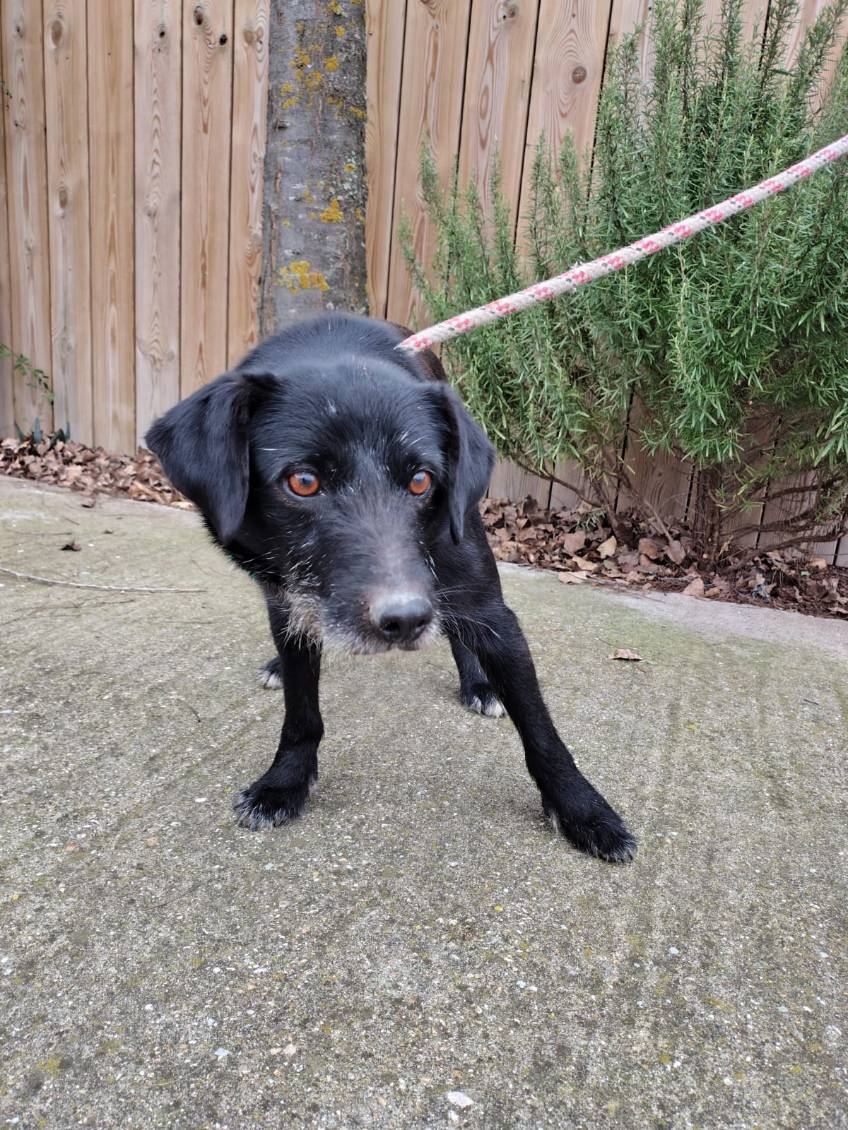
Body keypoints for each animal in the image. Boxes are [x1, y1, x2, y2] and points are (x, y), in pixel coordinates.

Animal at [146, 314, 635, 862]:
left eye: (422, 480)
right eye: (303, 482)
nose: (404, 620)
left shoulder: (488, 610)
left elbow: (541, 730)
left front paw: (584, 811)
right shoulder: (290, 606)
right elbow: (301, 712)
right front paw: (285, 782)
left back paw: (479, 684)